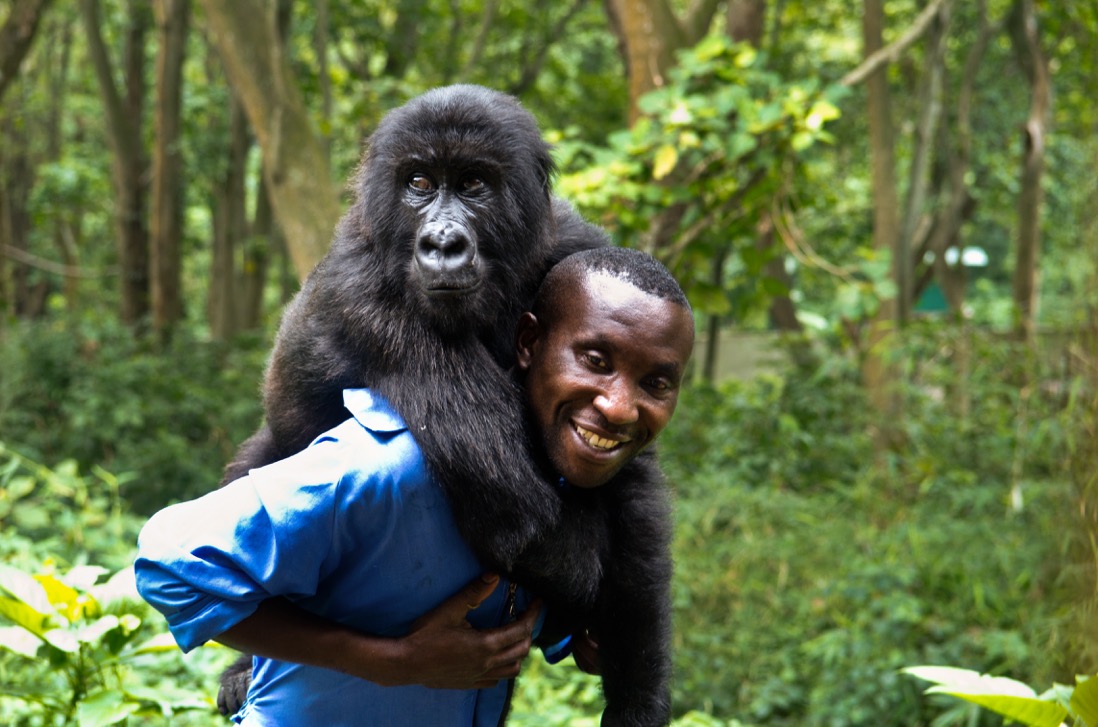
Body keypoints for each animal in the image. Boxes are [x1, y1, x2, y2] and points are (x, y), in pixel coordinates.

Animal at [219, 86, 671, 727]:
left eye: (474, 183)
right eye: (418, 182)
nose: (442, 243)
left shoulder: (581, 246)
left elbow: (634, 485)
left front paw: (638, 694)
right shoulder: (366, 293)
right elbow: (533, 516)